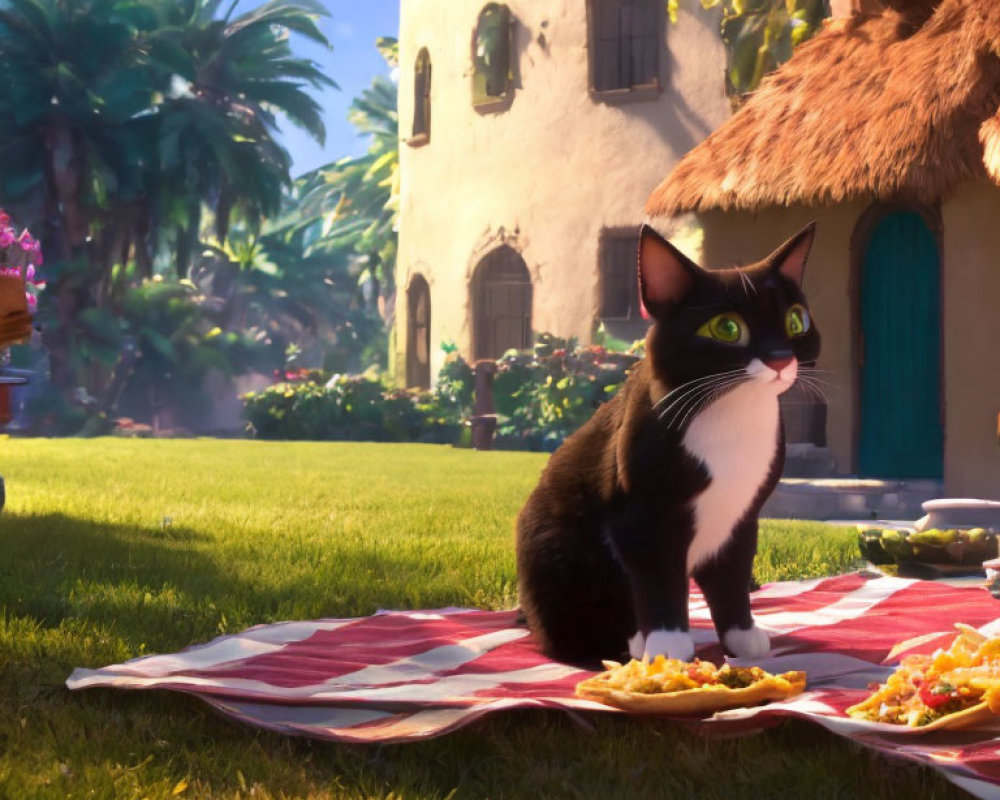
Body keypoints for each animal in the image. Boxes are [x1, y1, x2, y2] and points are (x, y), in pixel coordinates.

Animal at [516, 223, 820, 664]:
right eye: (726, 329)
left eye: (796, 321)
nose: (780, 357)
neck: (731, 414)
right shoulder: (643, 516)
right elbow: (659, 579)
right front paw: (667, 643)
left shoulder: (741, 516)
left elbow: (732, 577)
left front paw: (742, 635)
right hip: (556, 553)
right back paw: (623, 642)